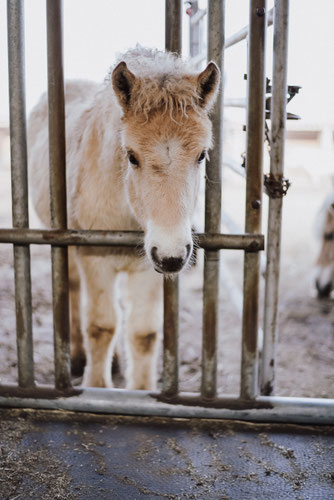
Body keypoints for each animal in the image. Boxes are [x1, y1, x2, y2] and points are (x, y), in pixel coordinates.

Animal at [28, 46, 219, 390]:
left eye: (201, 155)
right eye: (132, 156)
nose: (172, 256)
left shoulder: (148, 268)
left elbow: (143, 334)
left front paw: (141, 391)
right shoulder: (95, 260)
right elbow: (101, 327)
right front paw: (97, 387)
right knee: (74, 290)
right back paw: (77, 358)